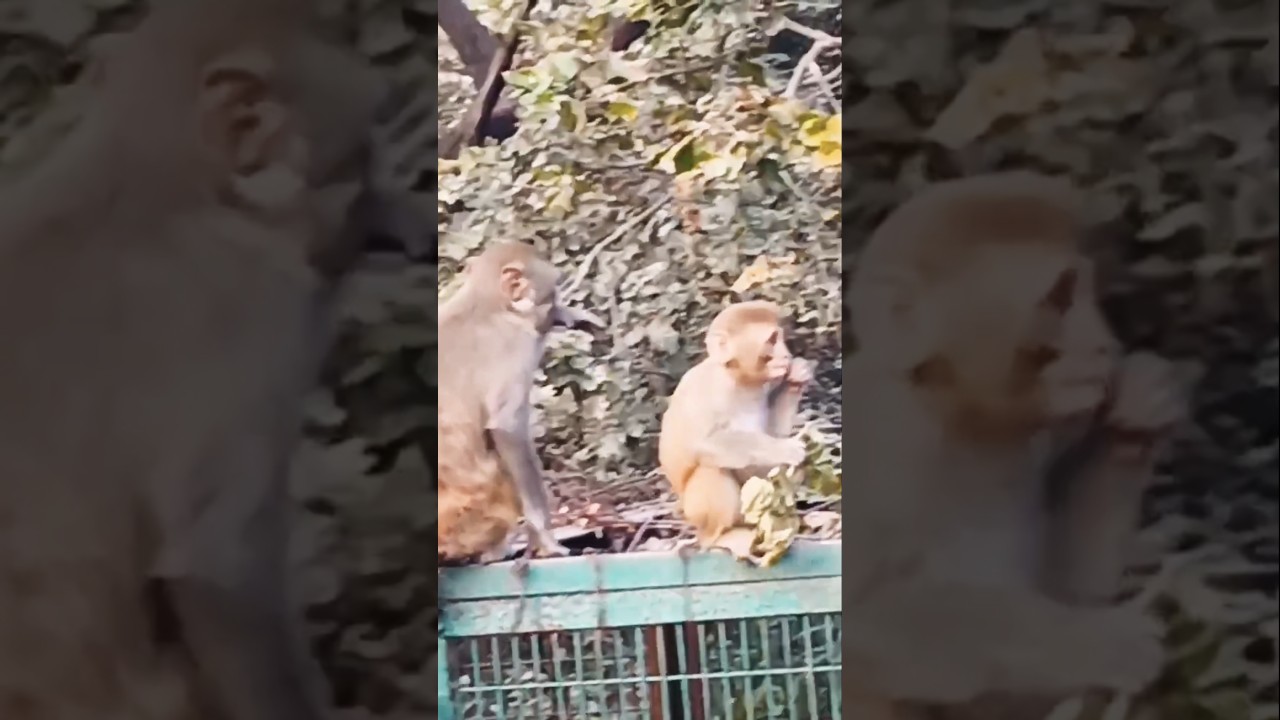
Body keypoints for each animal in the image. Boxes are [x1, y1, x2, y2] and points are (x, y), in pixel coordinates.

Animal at [437, 241, 604, 563]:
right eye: (552, 293)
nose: (556, 311)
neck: (488, 304)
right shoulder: (516, 346)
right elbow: (507, 428)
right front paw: (545, 538)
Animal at [657, 300, 814, 549]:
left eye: (779, 338)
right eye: (772, 340)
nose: (786, 355)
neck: (739, 379)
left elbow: (771, 433)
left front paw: (796, 377)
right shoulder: (709, 390)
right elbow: (704, 443)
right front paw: (785, 448)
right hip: (697, 514)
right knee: (711, 469)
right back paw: (722, 536)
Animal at [841, 172, 1187, 719]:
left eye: (1086, 293)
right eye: (1060, 298)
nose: (1103, 343)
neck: (962, 419)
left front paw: (1134, 416)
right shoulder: (883, 438)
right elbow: (854, 620)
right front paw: (1093, 643)